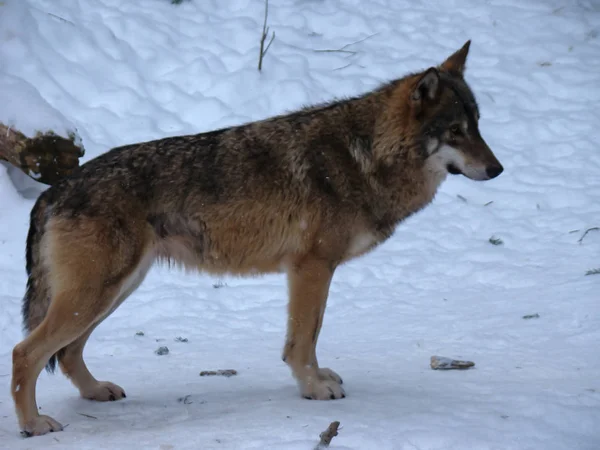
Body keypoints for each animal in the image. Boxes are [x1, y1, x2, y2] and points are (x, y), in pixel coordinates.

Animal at [11, 41, 504, 436]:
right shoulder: (312, 267)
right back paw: (34, 424)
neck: (365, 155)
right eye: (455, 131)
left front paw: (318, 379)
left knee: (67, 353)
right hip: (97, 294)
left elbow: (311, 335)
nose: (498, 169)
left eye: (478, 124)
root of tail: (54, 190)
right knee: (25, 353)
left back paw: (96, 391)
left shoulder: (314, 271)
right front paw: (313, 388)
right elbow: (303, 339)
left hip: (114, 292)